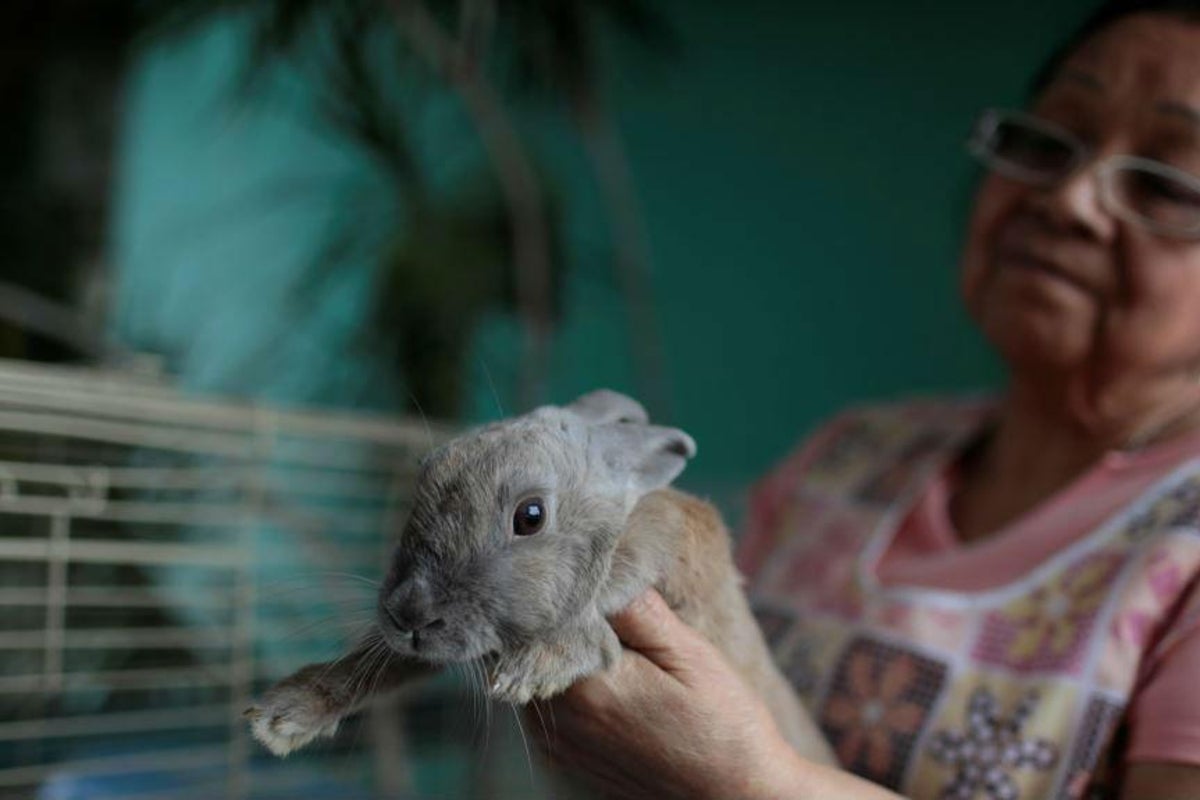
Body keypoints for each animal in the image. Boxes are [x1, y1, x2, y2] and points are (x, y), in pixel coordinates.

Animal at [244, 389, 834, 767]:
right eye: (423, 477)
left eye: (530, 516)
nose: (408, 615)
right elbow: (388, 663)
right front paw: (283, 716)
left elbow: (626, 561)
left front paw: (537, 666)